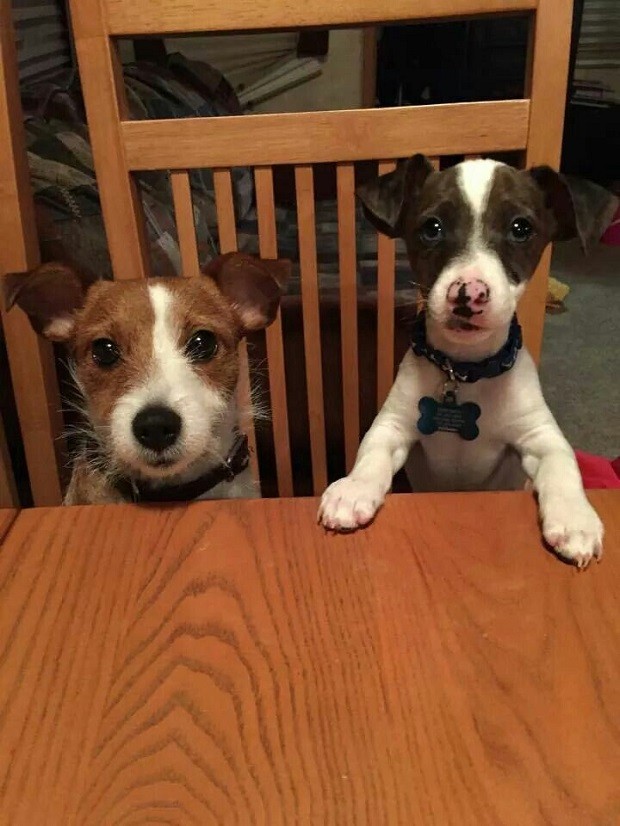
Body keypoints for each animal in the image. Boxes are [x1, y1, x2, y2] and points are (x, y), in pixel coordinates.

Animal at [320, 154, 616, 568]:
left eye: (521, 228)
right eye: (432, 228)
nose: (468, 295)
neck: (465, 372)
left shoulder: (539, 435)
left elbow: (563, 464)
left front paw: (575, 518)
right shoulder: (392, 426)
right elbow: (371, 454)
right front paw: (354, 489)